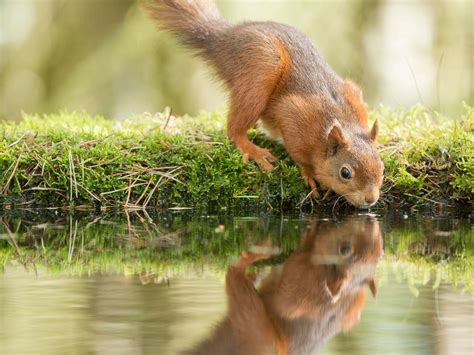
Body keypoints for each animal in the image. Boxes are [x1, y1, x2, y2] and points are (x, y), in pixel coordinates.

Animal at [148, 0, 386, 209]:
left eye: (382, 168)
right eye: (345, 173)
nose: (371, 199)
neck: (337, 122)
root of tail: (223, 39)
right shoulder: (294, 116)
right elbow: (300, 156)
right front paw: (310, 175)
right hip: (261, 67)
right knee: (234, 130)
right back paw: (252, 149)